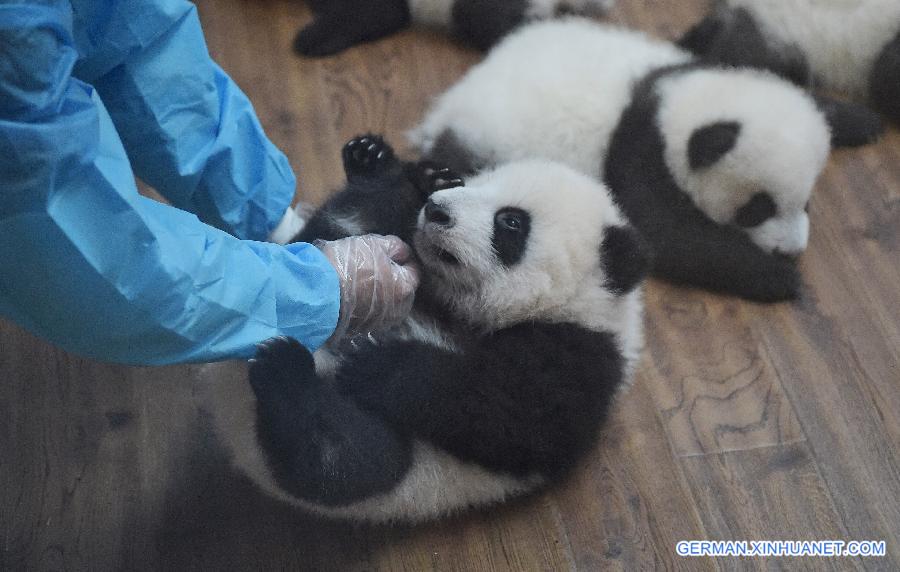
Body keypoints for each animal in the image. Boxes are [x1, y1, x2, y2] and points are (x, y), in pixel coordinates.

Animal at [211, 134, 648, 524]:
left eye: (510, 222)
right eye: (475, 183)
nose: (437, 210)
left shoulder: (578, 356)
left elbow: (508, 415)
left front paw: (377, 363)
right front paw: (426, 177)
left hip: (400, 473)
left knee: (346, 459)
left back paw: (283, 370)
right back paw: (383, 172)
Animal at [412, 19, 884, 302]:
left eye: (807, 203)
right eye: (756, 210)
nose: (792, 250)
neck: (677, 101)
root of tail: (450, 104)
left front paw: (862, 121)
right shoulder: (640, 151)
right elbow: (673, 236)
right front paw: (779, 278)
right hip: (489, 139)